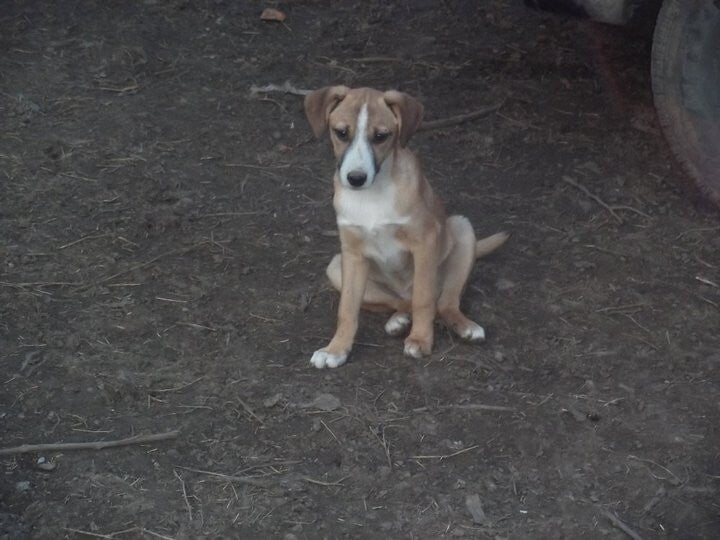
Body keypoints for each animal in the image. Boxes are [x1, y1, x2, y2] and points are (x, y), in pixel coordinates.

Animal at [304, 86, 508, 368]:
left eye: (381, 136)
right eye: (341, 132)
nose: (356, 178)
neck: (372, 195)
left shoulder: (425, 242)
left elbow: (424, 298)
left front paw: (421, 340)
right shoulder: (352, 254)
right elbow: (347, 309)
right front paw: (336, 349)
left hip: (462, 229)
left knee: (443, 302)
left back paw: (465, 327)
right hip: (336, 266)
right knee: (400, 303)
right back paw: (399, 320)